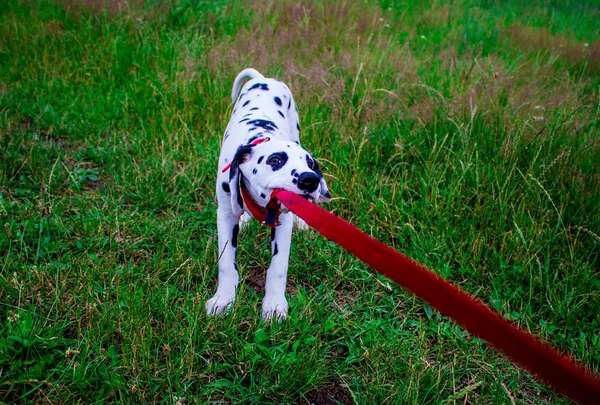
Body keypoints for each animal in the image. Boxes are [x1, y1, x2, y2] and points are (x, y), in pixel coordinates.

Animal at [205, 68, 328, 320]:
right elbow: (226, 262)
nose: (310, 179)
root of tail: (264, 79)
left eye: (310, 164)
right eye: (275, 160)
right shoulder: (225, 214)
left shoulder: (283, 223)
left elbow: (278, 267)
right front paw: (223, 299)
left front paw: (274, 305)